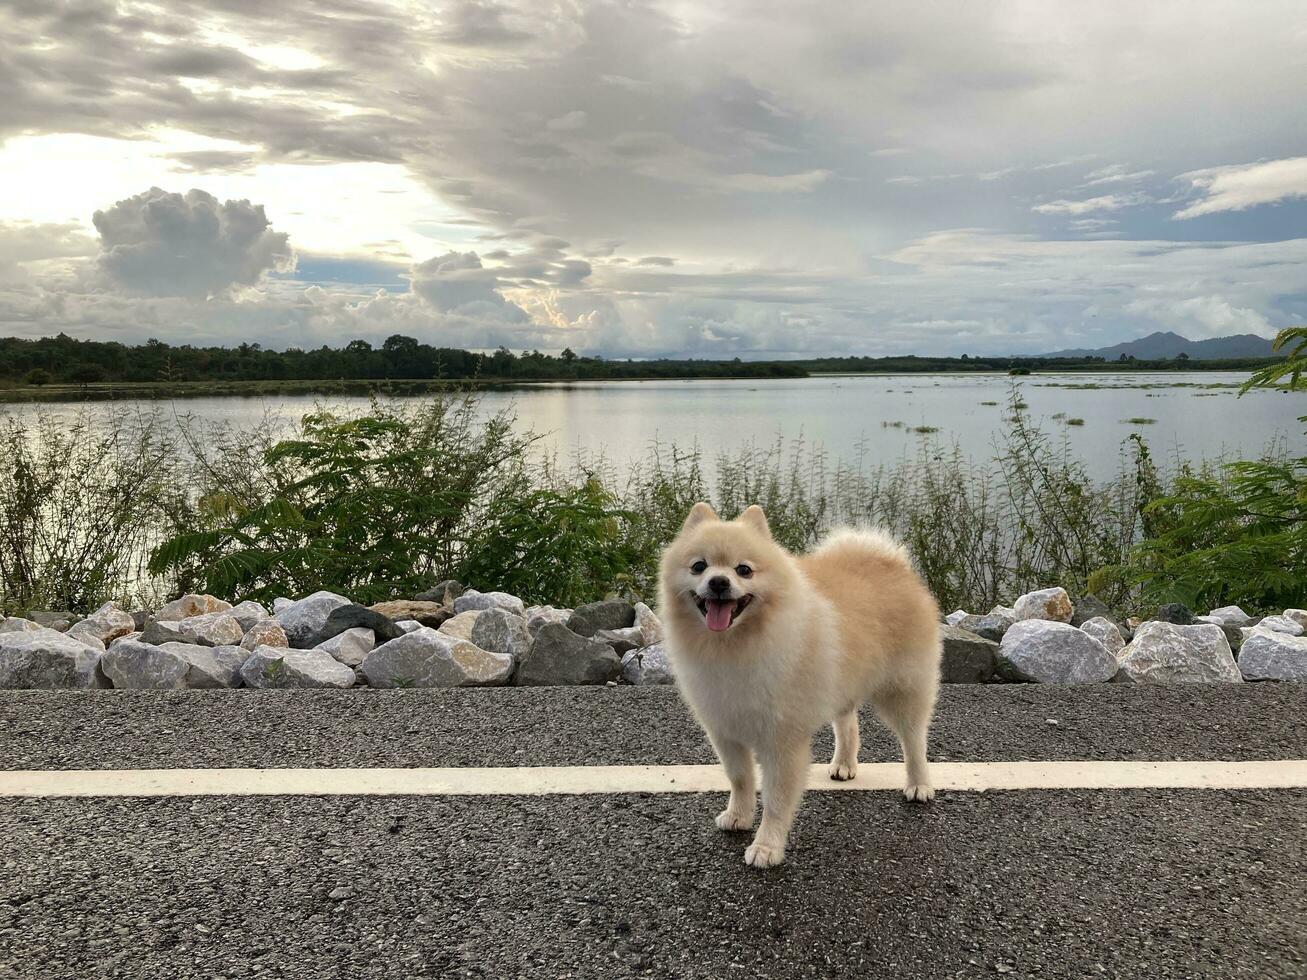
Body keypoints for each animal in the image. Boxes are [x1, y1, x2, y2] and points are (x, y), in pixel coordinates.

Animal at [658, 506, 946, 867]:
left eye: (744, 570)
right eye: (699, 566)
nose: (719, 582)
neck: (733, 645)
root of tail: (891, 562)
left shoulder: (781, 741)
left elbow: (776, 798)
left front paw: (767, 846)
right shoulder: (725, 730)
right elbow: (740, 780)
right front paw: (738, 816)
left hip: (903, 689)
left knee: (914, 740)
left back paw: (919, 784)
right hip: (842, 680)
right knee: (848, 725)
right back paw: (844, 765)